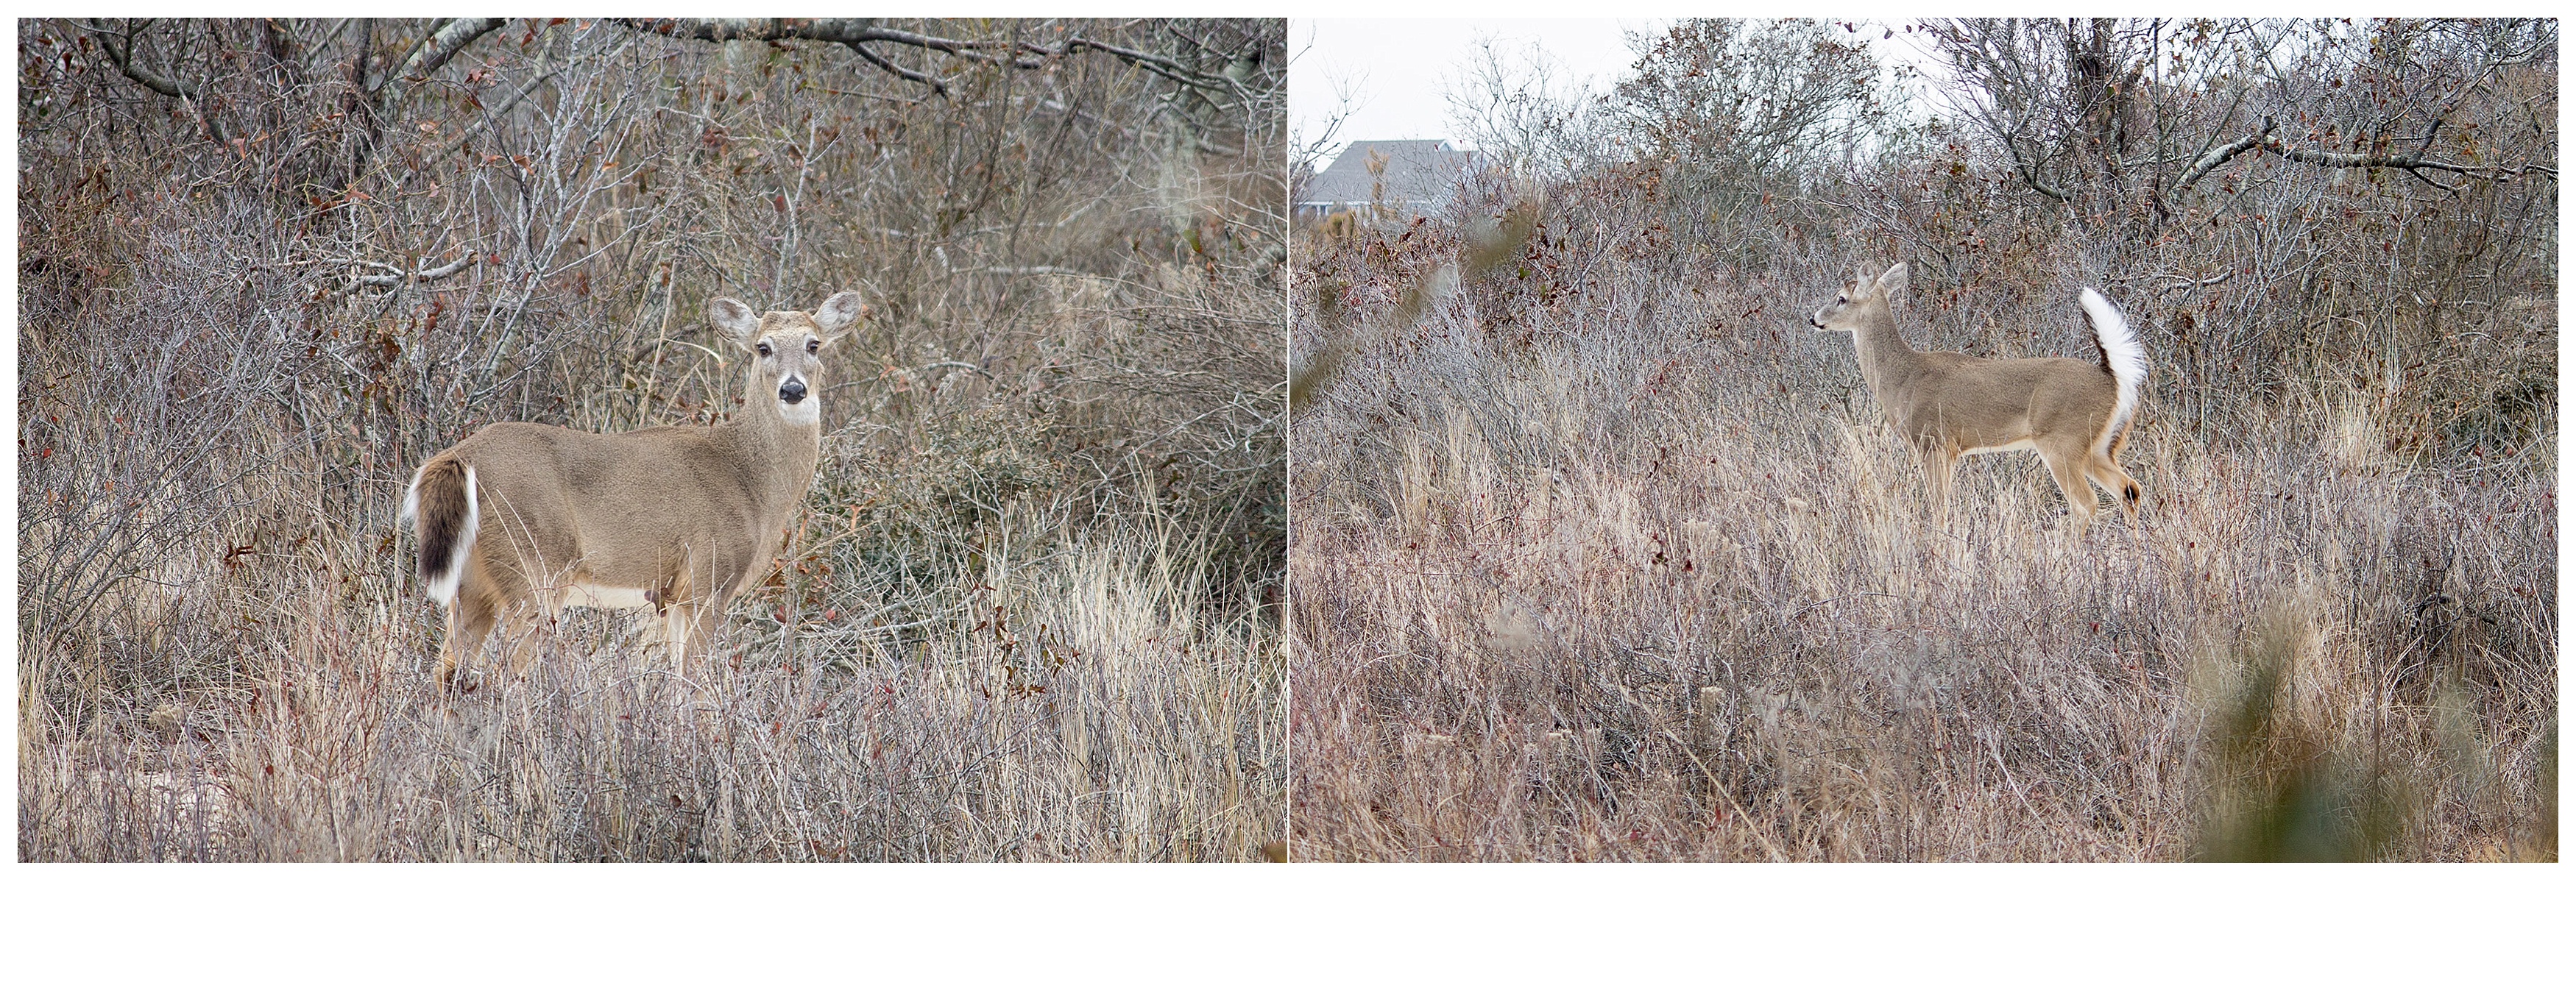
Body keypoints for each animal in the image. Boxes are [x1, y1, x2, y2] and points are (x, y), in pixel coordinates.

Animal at [397, 284, 866, 685]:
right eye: (763, 348)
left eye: (813, 344)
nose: (793, 389)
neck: (751, 482)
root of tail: (457, 459)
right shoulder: (708, 576)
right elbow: (695, 683)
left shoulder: (672, 597)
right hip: (533, 564)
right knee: (505, 674)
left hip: (474, 582)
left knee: (447, 671)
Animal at [1814, 263, 2154, 530]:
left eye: (1841, 298)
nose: (1814, 318)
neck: (1902, 378)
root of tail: (2113, 379)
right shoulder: (1947, 449)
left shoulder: (1934, 441)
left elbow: (1939, 506)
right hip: (2098, 446)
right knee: (2129, 488)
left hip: (2062, 441)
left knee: (2088, 503)